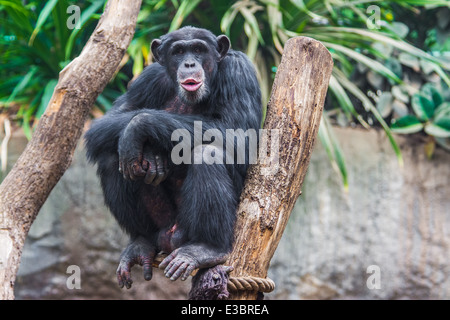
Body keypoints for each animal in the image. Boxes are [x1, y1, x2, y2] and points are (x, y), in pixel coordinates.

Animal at [84, 26, 262, 288]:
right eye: (178, 52)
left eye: (198, 49)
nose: (189, 63)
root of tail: (171, 239)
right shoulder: (147, 78)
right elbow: (107, 122)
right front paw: (151, 153)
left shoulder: (239, 71)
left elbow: (238, 133)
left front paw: (139, 125)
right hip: (163, 225)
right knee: (112, 157)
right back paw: (141, 241)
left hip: (186, 230)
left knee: (207, 153)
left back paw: (207, 248)